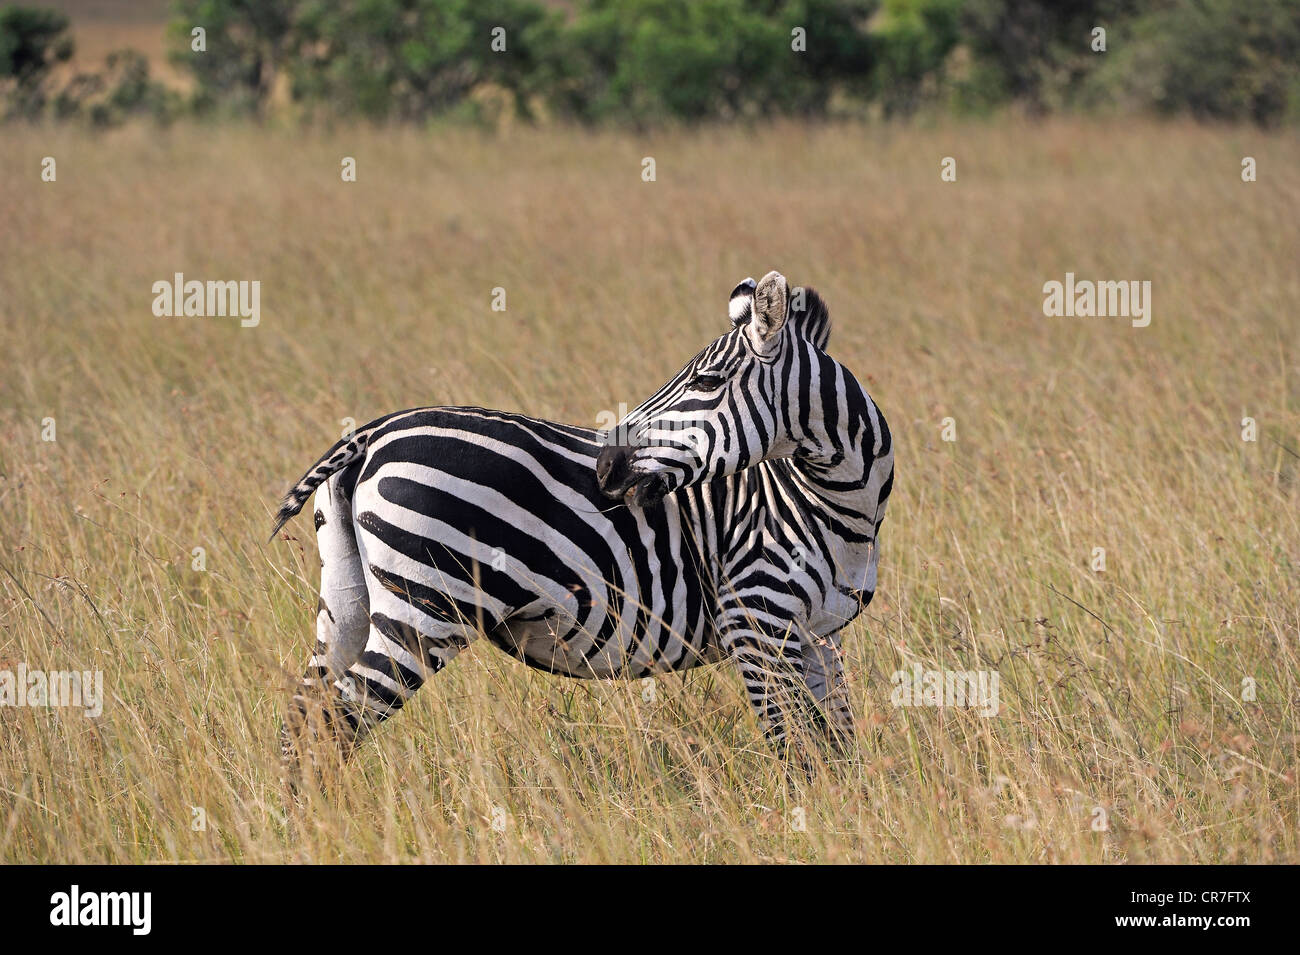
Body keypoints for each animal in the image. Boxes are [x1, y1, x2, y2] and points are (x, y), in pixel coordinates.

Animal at [274, 268, 894, 779]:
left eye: (708, 382)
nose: (605, 467)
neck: (837, 505)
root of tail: (374, 432)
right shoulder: (754, 618)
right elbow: (794, 748)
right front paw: (805, 823)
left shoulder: (821, 636)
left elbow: (839, 746)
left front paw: (848, 813)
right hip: (424, 606)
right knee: (336, 721)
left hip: (347, 600)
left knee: (302, 714)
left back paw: (304, 827)